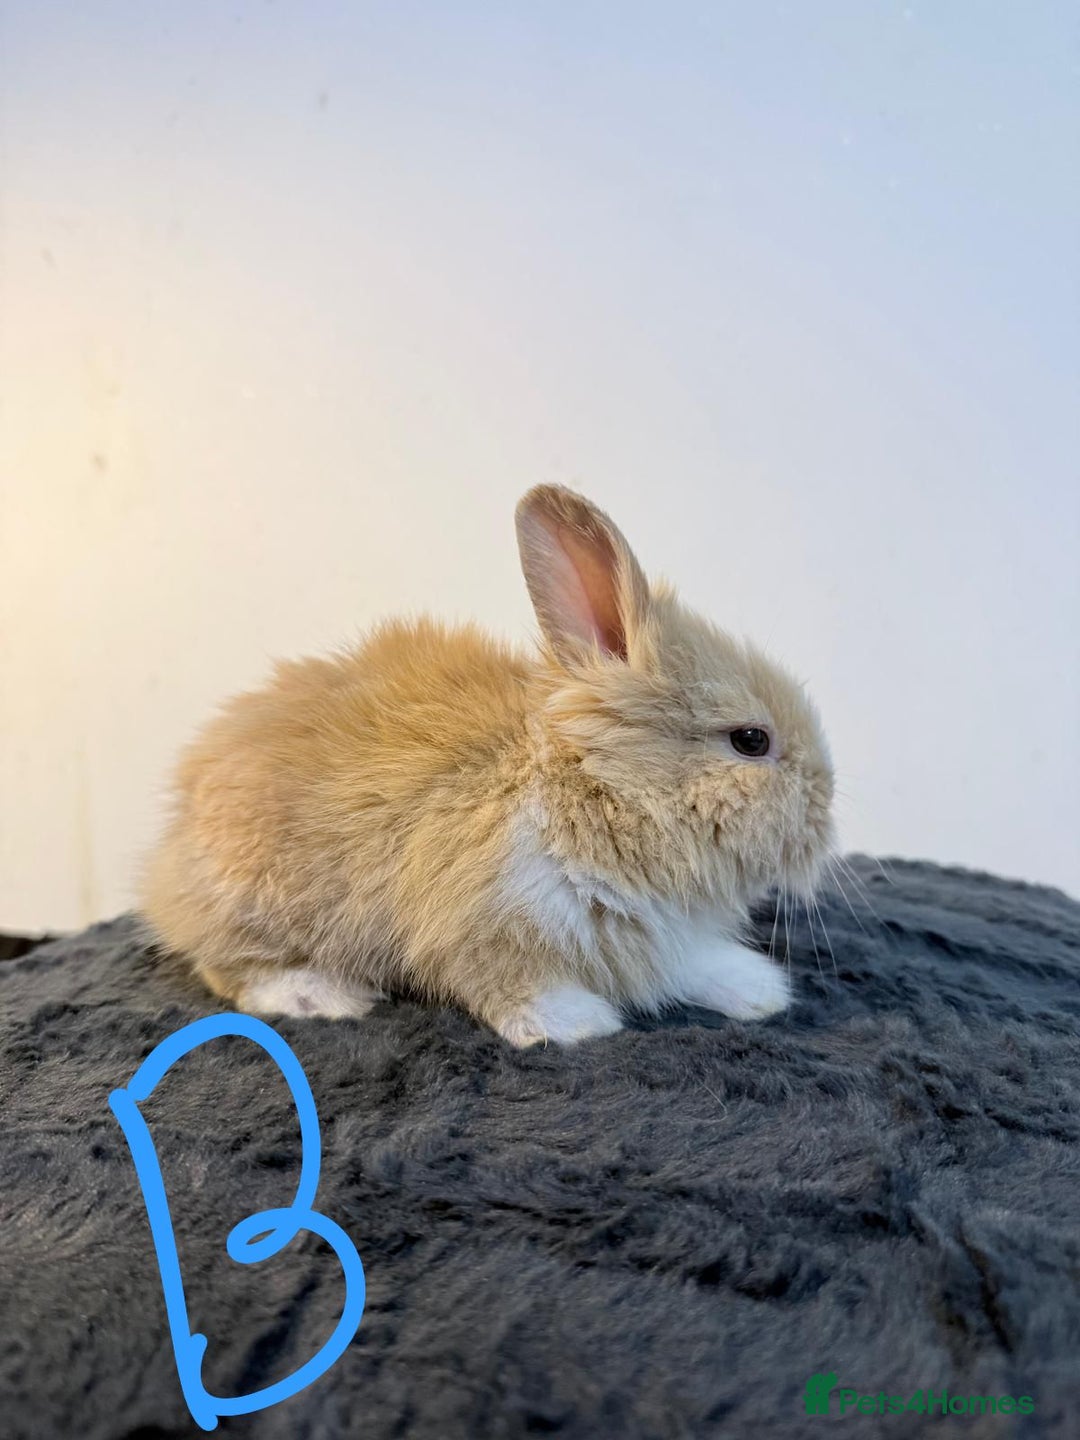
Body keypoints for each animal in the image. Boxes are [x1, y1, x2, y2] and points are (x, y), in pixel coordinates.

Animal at [140, 485, 835, 1046]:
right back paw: (321, 995)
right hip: (256, 904)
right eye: (751, 740)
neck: (587, 784)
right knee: (227, 966)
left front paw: (758, 990)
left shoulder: (657, 937)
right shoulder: (485, 924)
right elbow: (510, 984)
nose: (825, 813)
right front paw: (575, 1024)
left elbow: (689, 965)